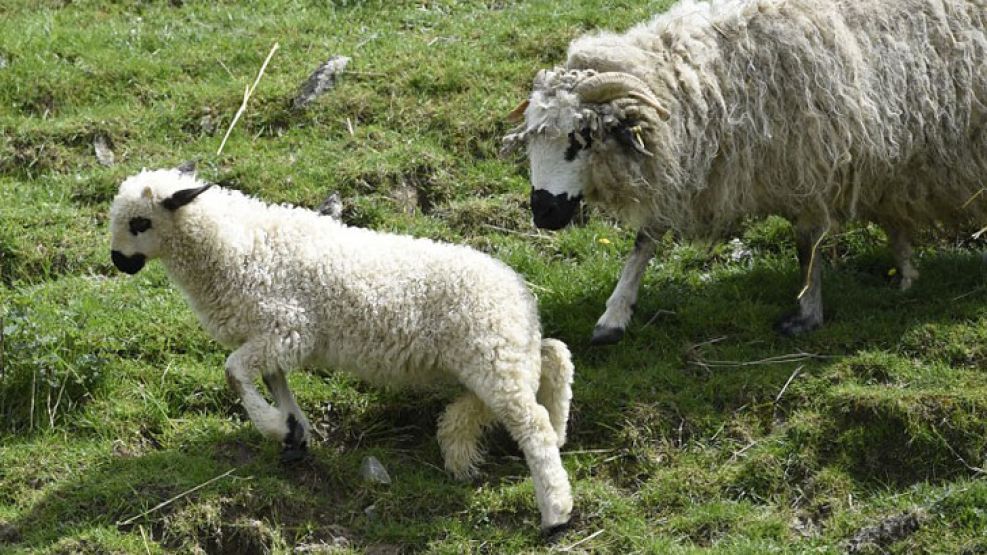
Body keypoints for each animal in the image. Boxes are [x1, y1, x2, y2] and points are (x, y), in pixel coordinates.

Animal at [106, 169, 580, 536]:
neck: (235, 248)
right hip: (495, 351)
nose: (117, 261)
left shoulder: (286, 328)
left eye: (140, 223)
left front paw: (272, 426)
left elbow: (233, 371)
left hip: (492, 352)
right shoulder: (275, 338)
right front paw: (292, 431)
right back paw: (522, 437)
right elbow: (273, 381)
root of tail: (520, 293)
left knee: (532, 420)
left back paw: (555, 511)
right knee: (552, 357)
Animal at [502, 0, 987, 344]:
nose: (542, 213)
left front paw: (807, 313)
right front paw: (614, 315)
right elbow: (645, 241)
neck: (715, 83)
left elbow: (807, 244)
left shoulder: (808, 163)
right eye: (533, 140)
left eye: (582, 137)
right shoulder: (690, 168)